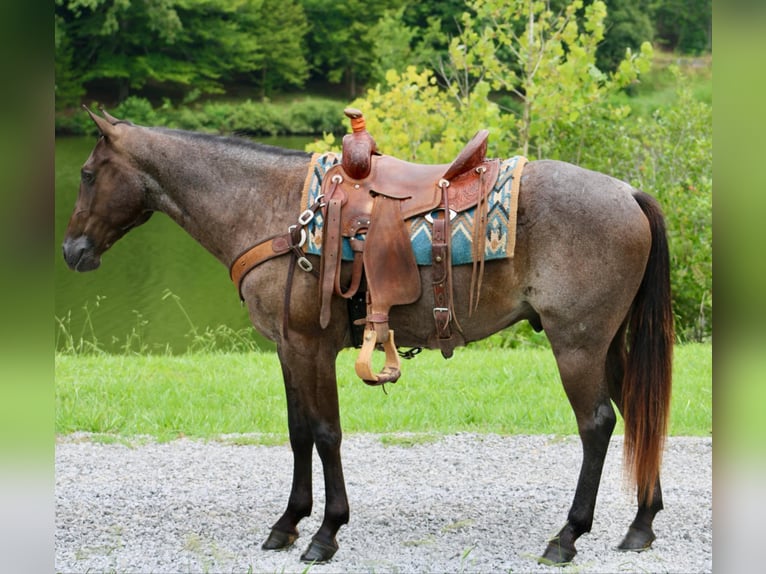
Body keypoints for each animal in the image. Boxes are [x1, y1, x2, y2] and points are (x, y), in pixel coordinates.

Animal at [63, 108, 676, 568]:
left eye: (88, 173)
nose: (72, 251)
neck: (274, 211)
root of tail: (629, 192)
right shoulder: (287, 348)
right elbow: (298, 433)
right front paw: (288, 523)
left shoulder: (309, 347)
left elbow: (326, 433)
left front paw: (326, 532)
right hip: (607, 346)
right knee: (638, 412)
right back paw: (641, 524)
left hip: (577, 345)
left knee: (597, 424)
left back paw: (567, 536)